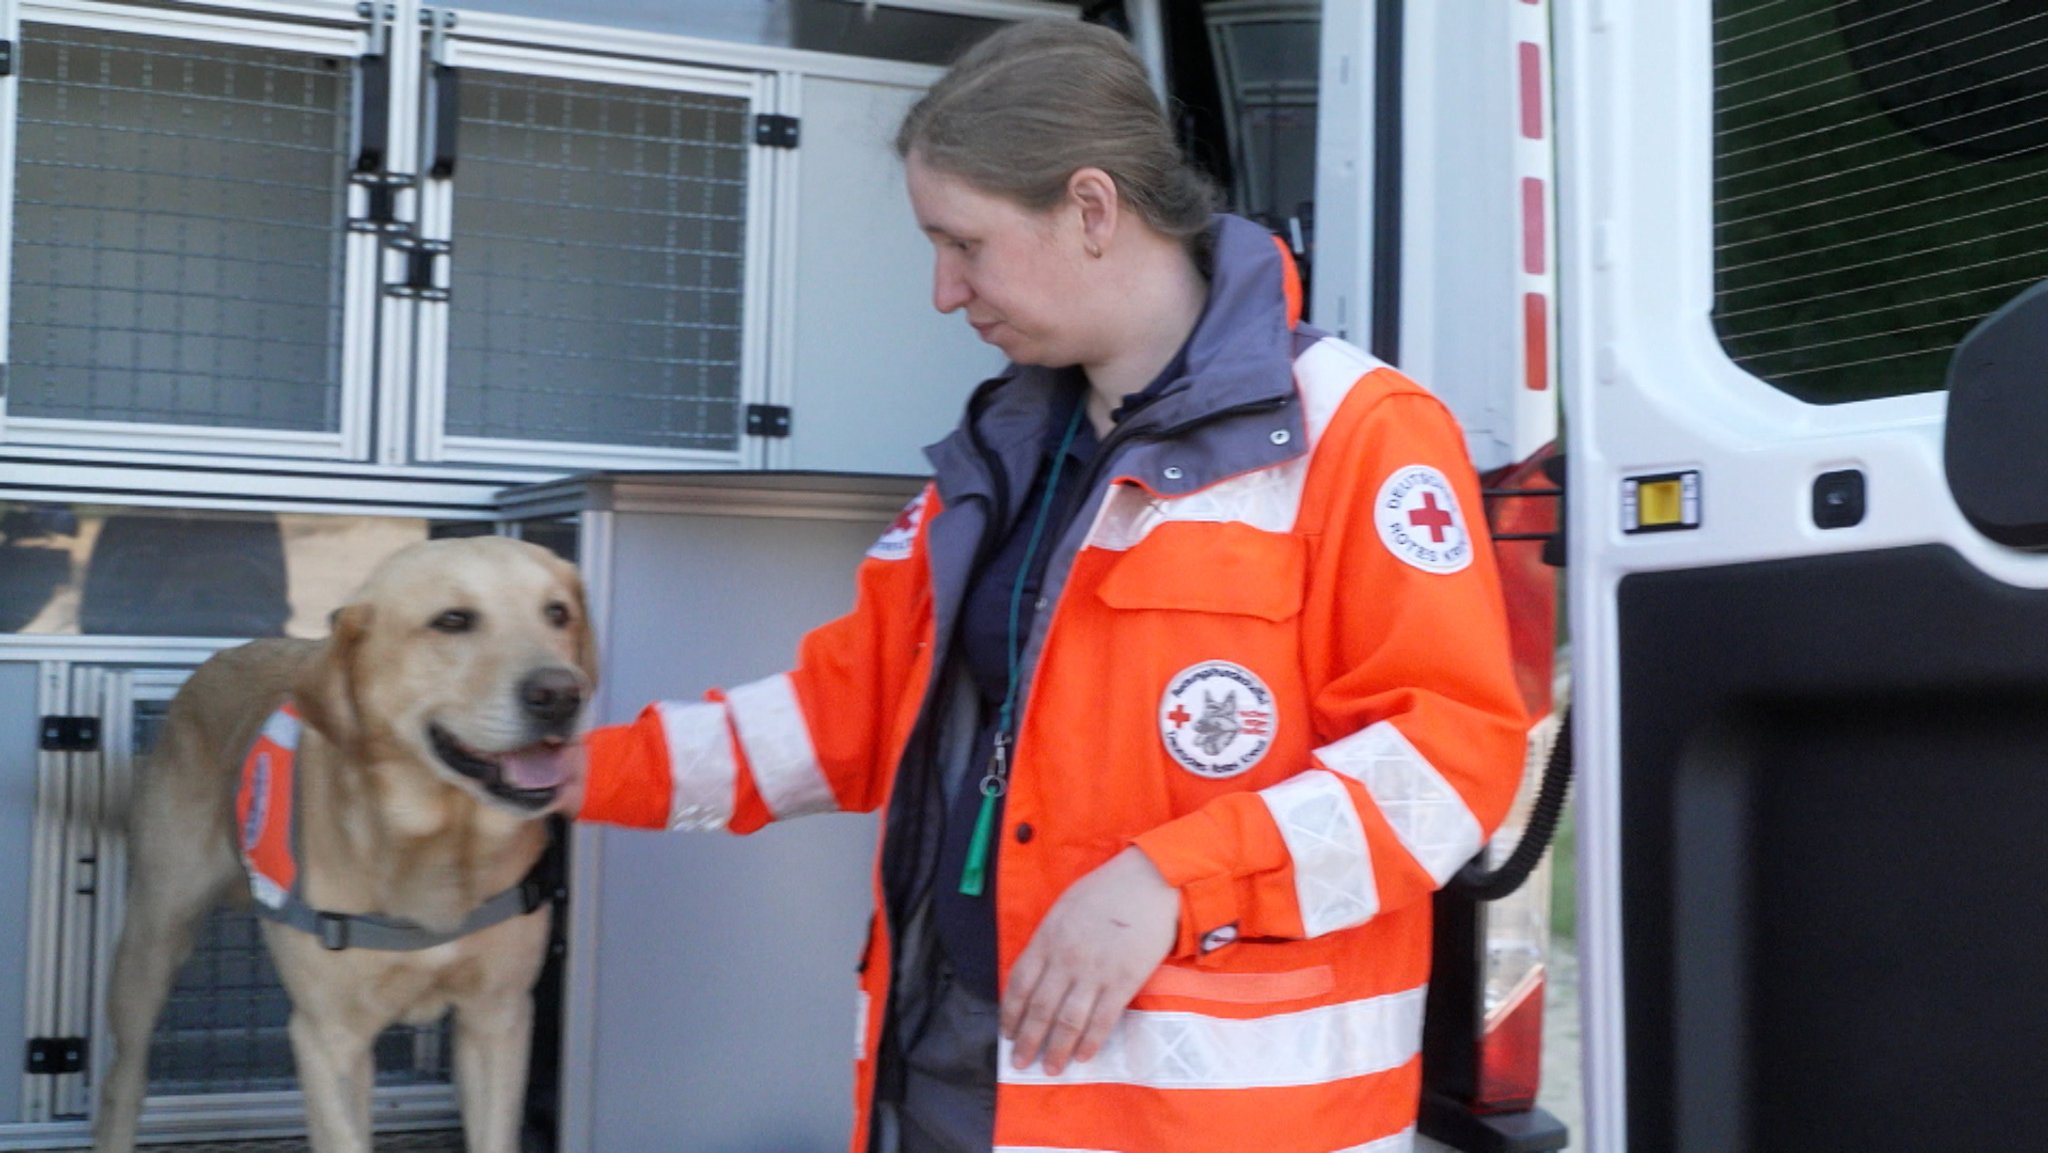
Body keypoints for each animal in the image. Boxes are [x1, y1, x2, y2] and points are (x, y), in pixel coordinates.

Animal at [96, 540, 593, 1153]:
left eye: (557, 613)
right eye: (452, 621)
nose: (562, 694)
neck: (433, 846)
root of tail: (223, 655)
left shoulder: (496, 1020)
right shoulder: (329, 1039)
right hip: (153, 938)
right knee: (124, 1077)